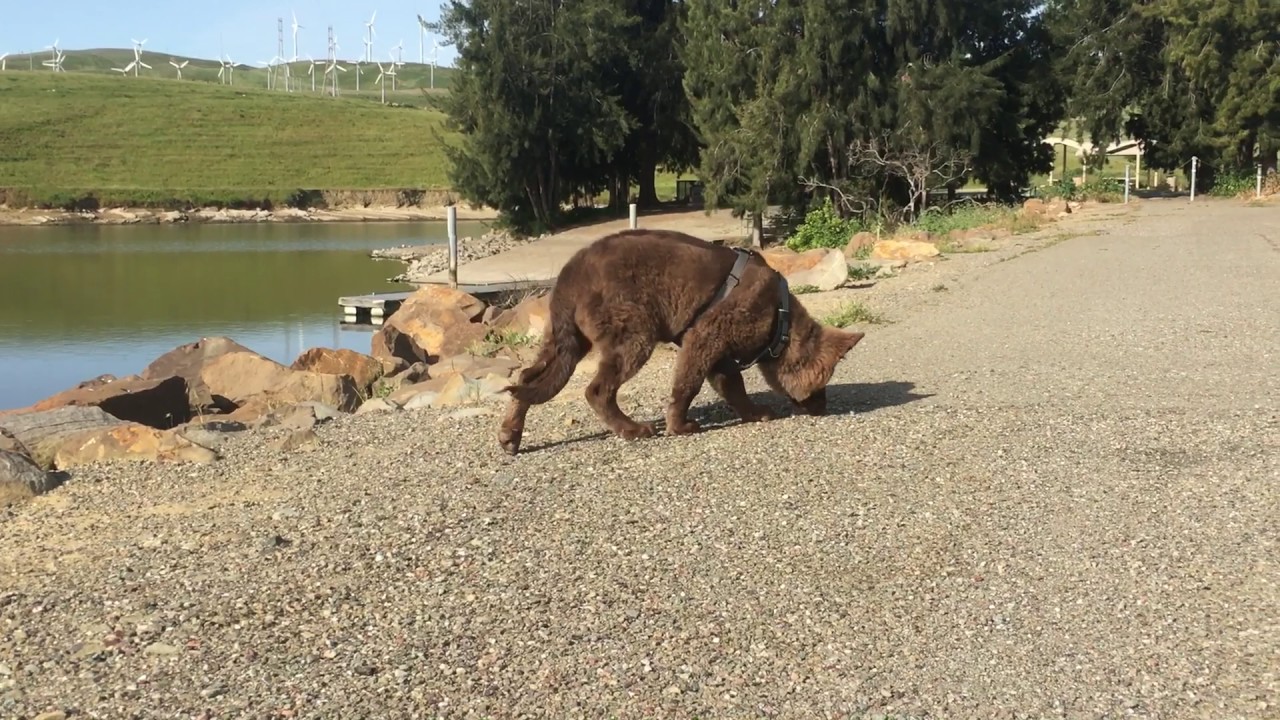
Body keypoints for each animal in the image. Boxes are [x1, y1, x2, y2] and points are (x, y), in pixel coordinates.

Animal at [494, 228, 865, 453]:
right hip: (634, 333)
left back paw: (510, 434)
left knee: (525, 379)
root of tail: (569, 274)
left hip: (565, 342)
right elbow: (687, 384)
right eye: (823, 383)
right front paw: (679, 425)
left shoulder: (720, 354)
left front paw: (752, 412)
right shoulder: (704, 338)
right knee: (597, 390)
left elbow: (734, 387)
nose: (824, 408)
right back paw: (632, 429)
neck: (780, 320)